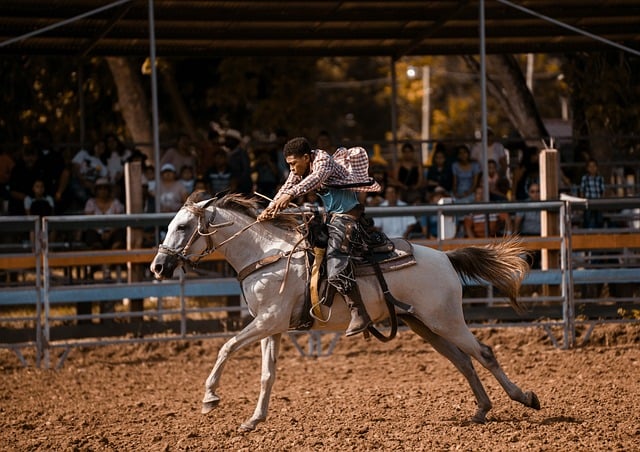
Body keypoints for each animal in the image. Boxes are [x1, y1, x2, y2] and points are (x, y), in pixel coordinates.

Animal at [150, 193, 540, 430]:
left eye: (182, 227)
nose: (157, 267)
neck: (265, 256)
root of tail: (446, 257)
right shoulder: (270, 326)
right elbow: (266, 375)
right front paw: (254, 420)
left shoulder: (267, 321)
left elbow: (226, 347)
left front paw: (210, 398)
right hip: (424, 324)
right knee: (463, 361)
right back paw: (481, 410)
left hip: (447, 320)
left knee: (484, 353)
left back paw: (525, 397)